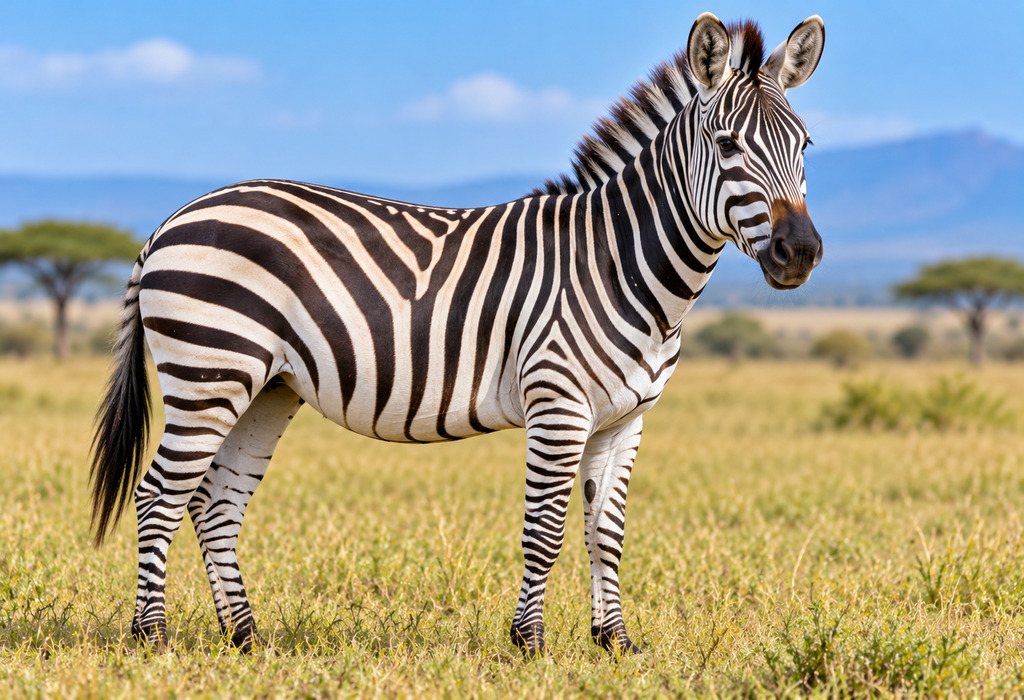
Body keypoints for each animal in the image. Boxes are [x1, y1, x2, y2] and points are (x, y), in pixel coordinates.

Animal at [90, 13, 825, 656]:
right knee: (159, 495)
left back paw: (246, 638)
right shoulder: (558, 405)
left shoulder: (625, 420)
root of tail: (171, 220)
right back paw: (152, 638)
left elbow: (606, 534)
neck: (622, 266)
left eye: (804, 147)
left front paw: (615, 643)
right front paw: (530, 645)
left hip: (267, 386)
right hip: (210, 371)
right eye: (728, 146)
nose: (801, 253)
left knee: (215, 502)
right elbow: (545, 531)